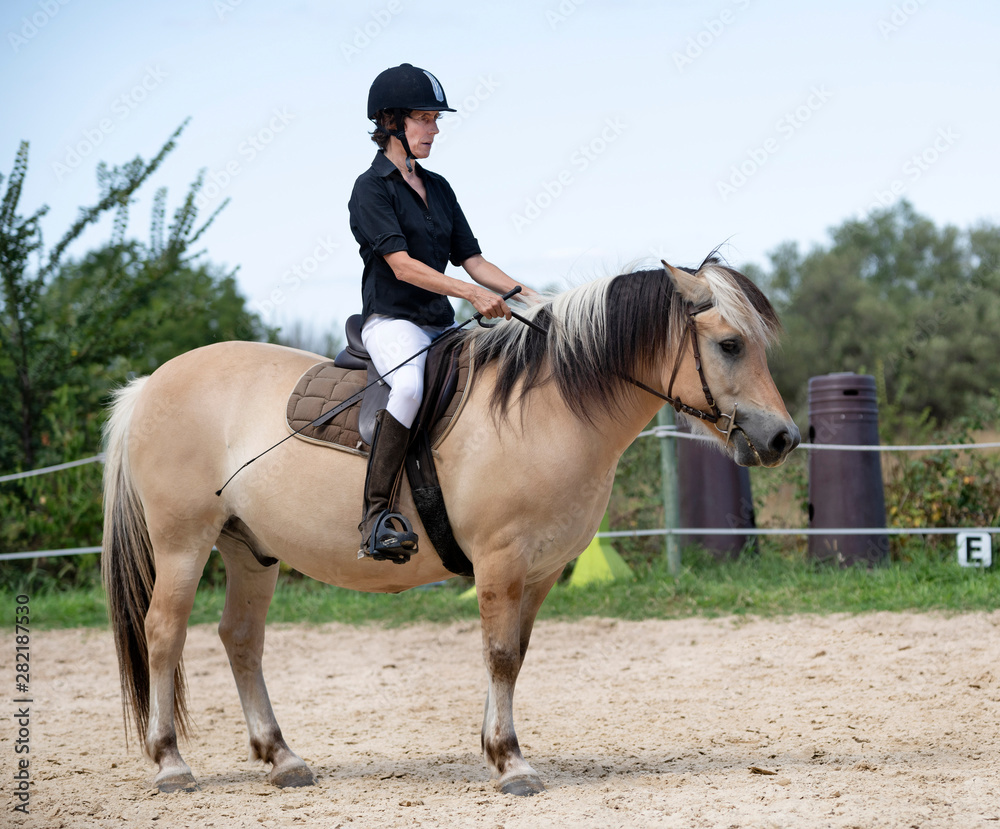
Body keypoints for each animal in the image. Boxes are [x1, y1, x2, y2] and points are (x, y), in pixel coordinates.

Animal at [101, 257, 799, 796]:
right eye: (730, 344)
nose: (783, 439)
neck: (547, 407)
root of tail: (150, 385)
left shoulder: (540, 571)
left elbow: (512, 655)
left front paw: (495, 749)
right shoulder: (500, 560)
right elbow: (498, 654)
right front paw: (511, 763)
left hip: (251, 551)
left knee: (241, 639)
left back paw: (283, 758)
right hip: (184, 543)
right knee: (164, 634)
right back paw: (170, 764)